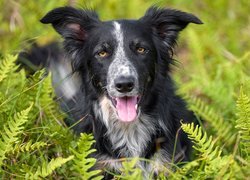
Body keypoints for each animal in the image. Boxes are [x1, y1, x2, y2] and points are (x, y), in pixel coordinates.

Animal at [21, 6, 202, 178]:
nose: (124, 84)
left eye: (141, 49)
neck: (129, 129)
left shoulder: (167, 163)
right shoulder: (100, 164)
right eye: (102, 53)